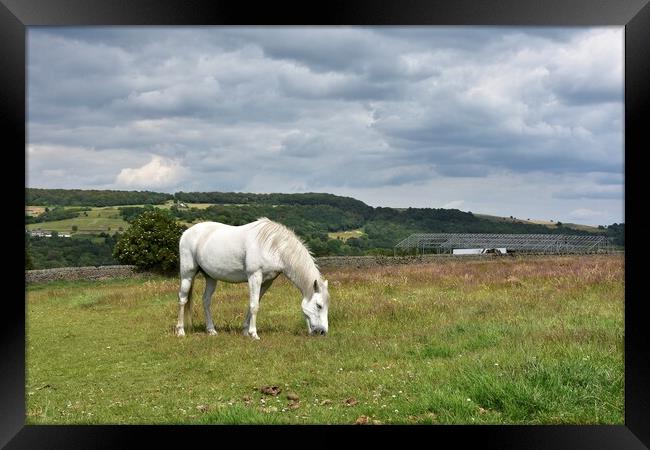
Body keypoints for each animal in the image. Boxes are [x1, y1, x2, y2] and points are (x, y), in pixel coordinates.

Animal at [175, 216, 330, 340]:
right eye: (319, 305)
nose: (322, 332)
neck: (273, 246)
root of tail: (186, 233)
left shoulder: (267, 282)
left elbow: (253, 304)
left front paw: (245, 331)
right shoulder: (254, 276)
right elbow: (254, 306)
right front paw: (254, 334)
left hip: (211, 277)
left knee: (206, 301)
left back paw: (211, 330)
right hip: (187, 274)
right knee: (183, 299)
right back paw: (181, 331)